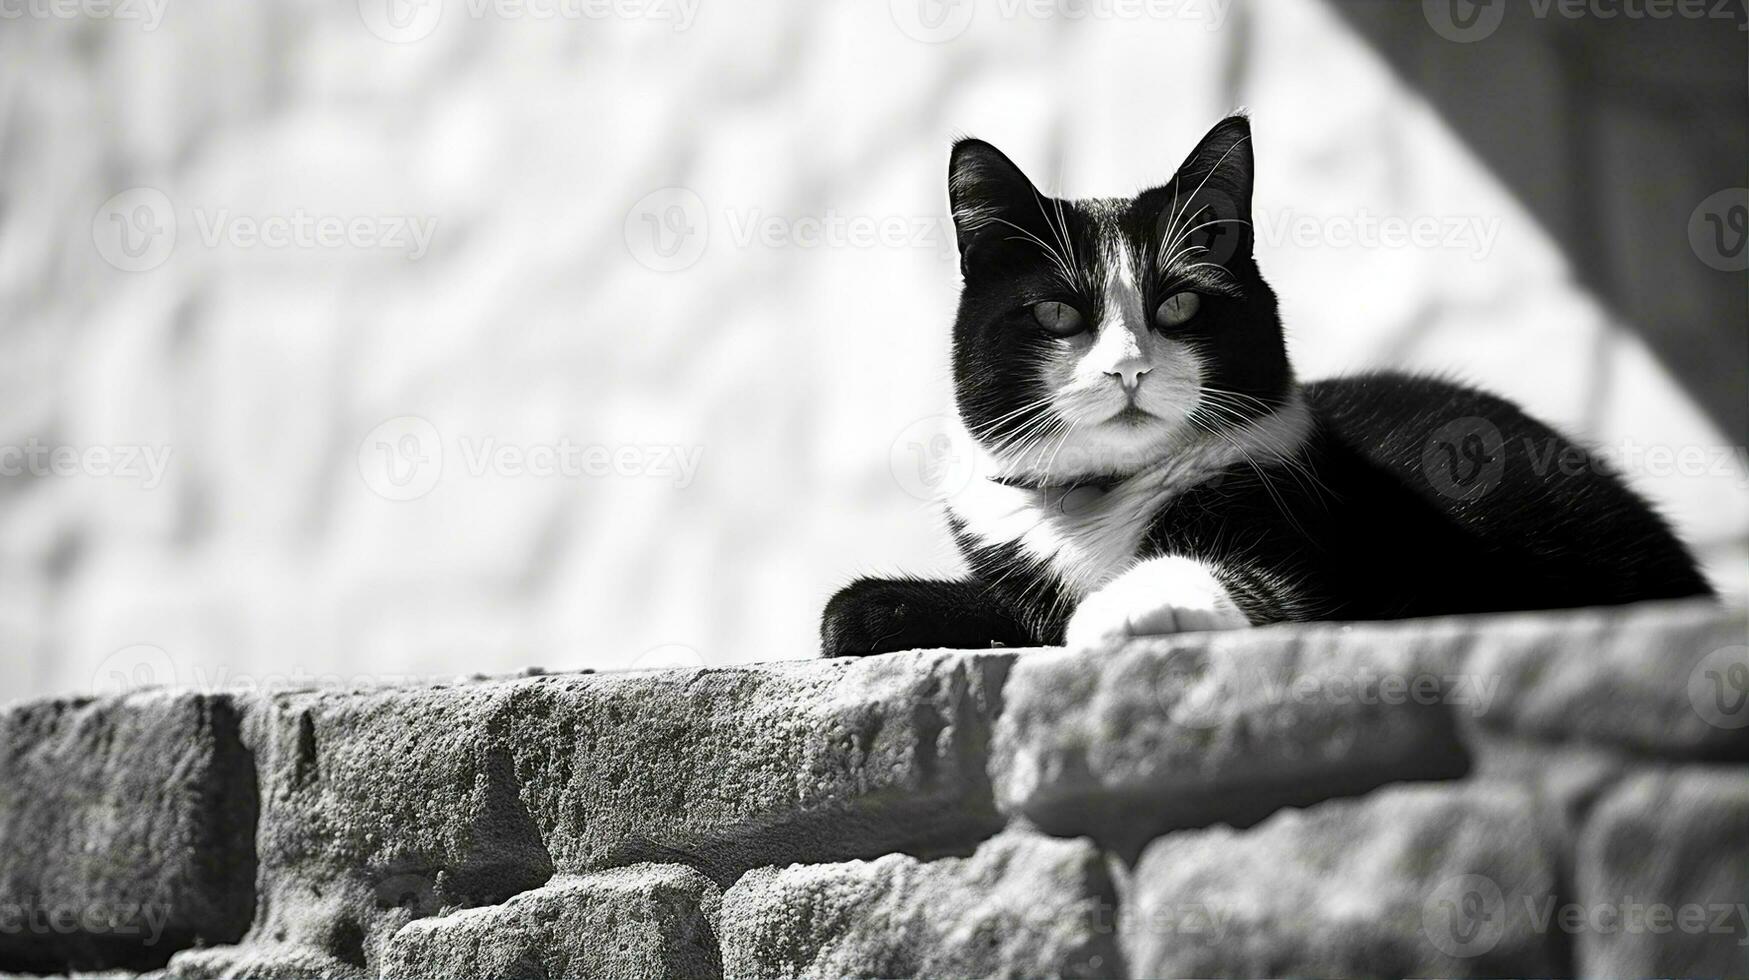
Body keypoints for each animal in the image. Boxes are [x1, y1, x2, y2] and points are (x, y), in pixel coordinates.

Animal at [815, 112, 1707, 658]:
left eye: (1177, 304)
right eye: (1056, 313)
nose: (1127, 366)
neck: (1101, 497)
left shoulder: (1317, 545)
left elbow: (1253, 587)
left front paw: (1117, 607)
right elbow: (1004, 608)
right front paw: (868, 611)